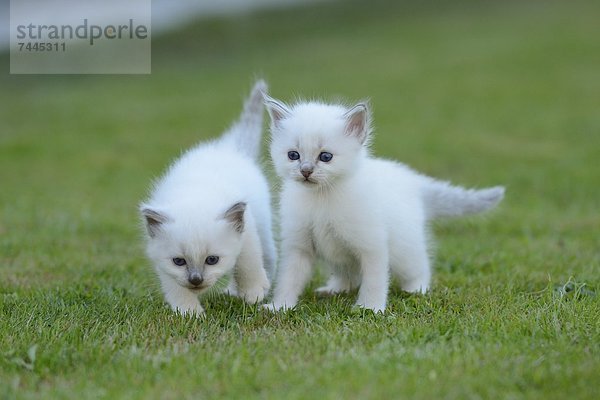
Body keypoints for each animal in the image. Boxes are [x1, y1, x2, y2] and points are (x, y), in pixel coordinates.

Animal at [142, 81, 276, 316]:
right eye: (179, 261)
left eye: (212, 260)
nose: (196, 279)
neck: (196, 194)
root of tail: (228, 148)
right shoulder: (163, 263)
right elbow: (175, 287)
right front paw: (189, 312)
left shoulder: (248, 231)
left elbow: (247, 262)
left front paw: (253, 293)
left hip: (263, 223)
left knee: (267, 256)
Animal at [264, 97, 504, 312]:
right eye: (293, 155)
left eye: (325, 157)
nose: (305, 171)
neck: (321, 199)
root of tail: (413, 180)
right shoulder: (298, 246)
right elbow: (288, 279)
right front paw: (279, 307)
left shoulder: (372, 245)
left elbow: (374, 280)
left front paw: (369, 308)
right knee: (347, 273)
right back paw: (334, 290)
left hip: (405, 250)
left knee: (420, 267)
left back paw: (416, 290)